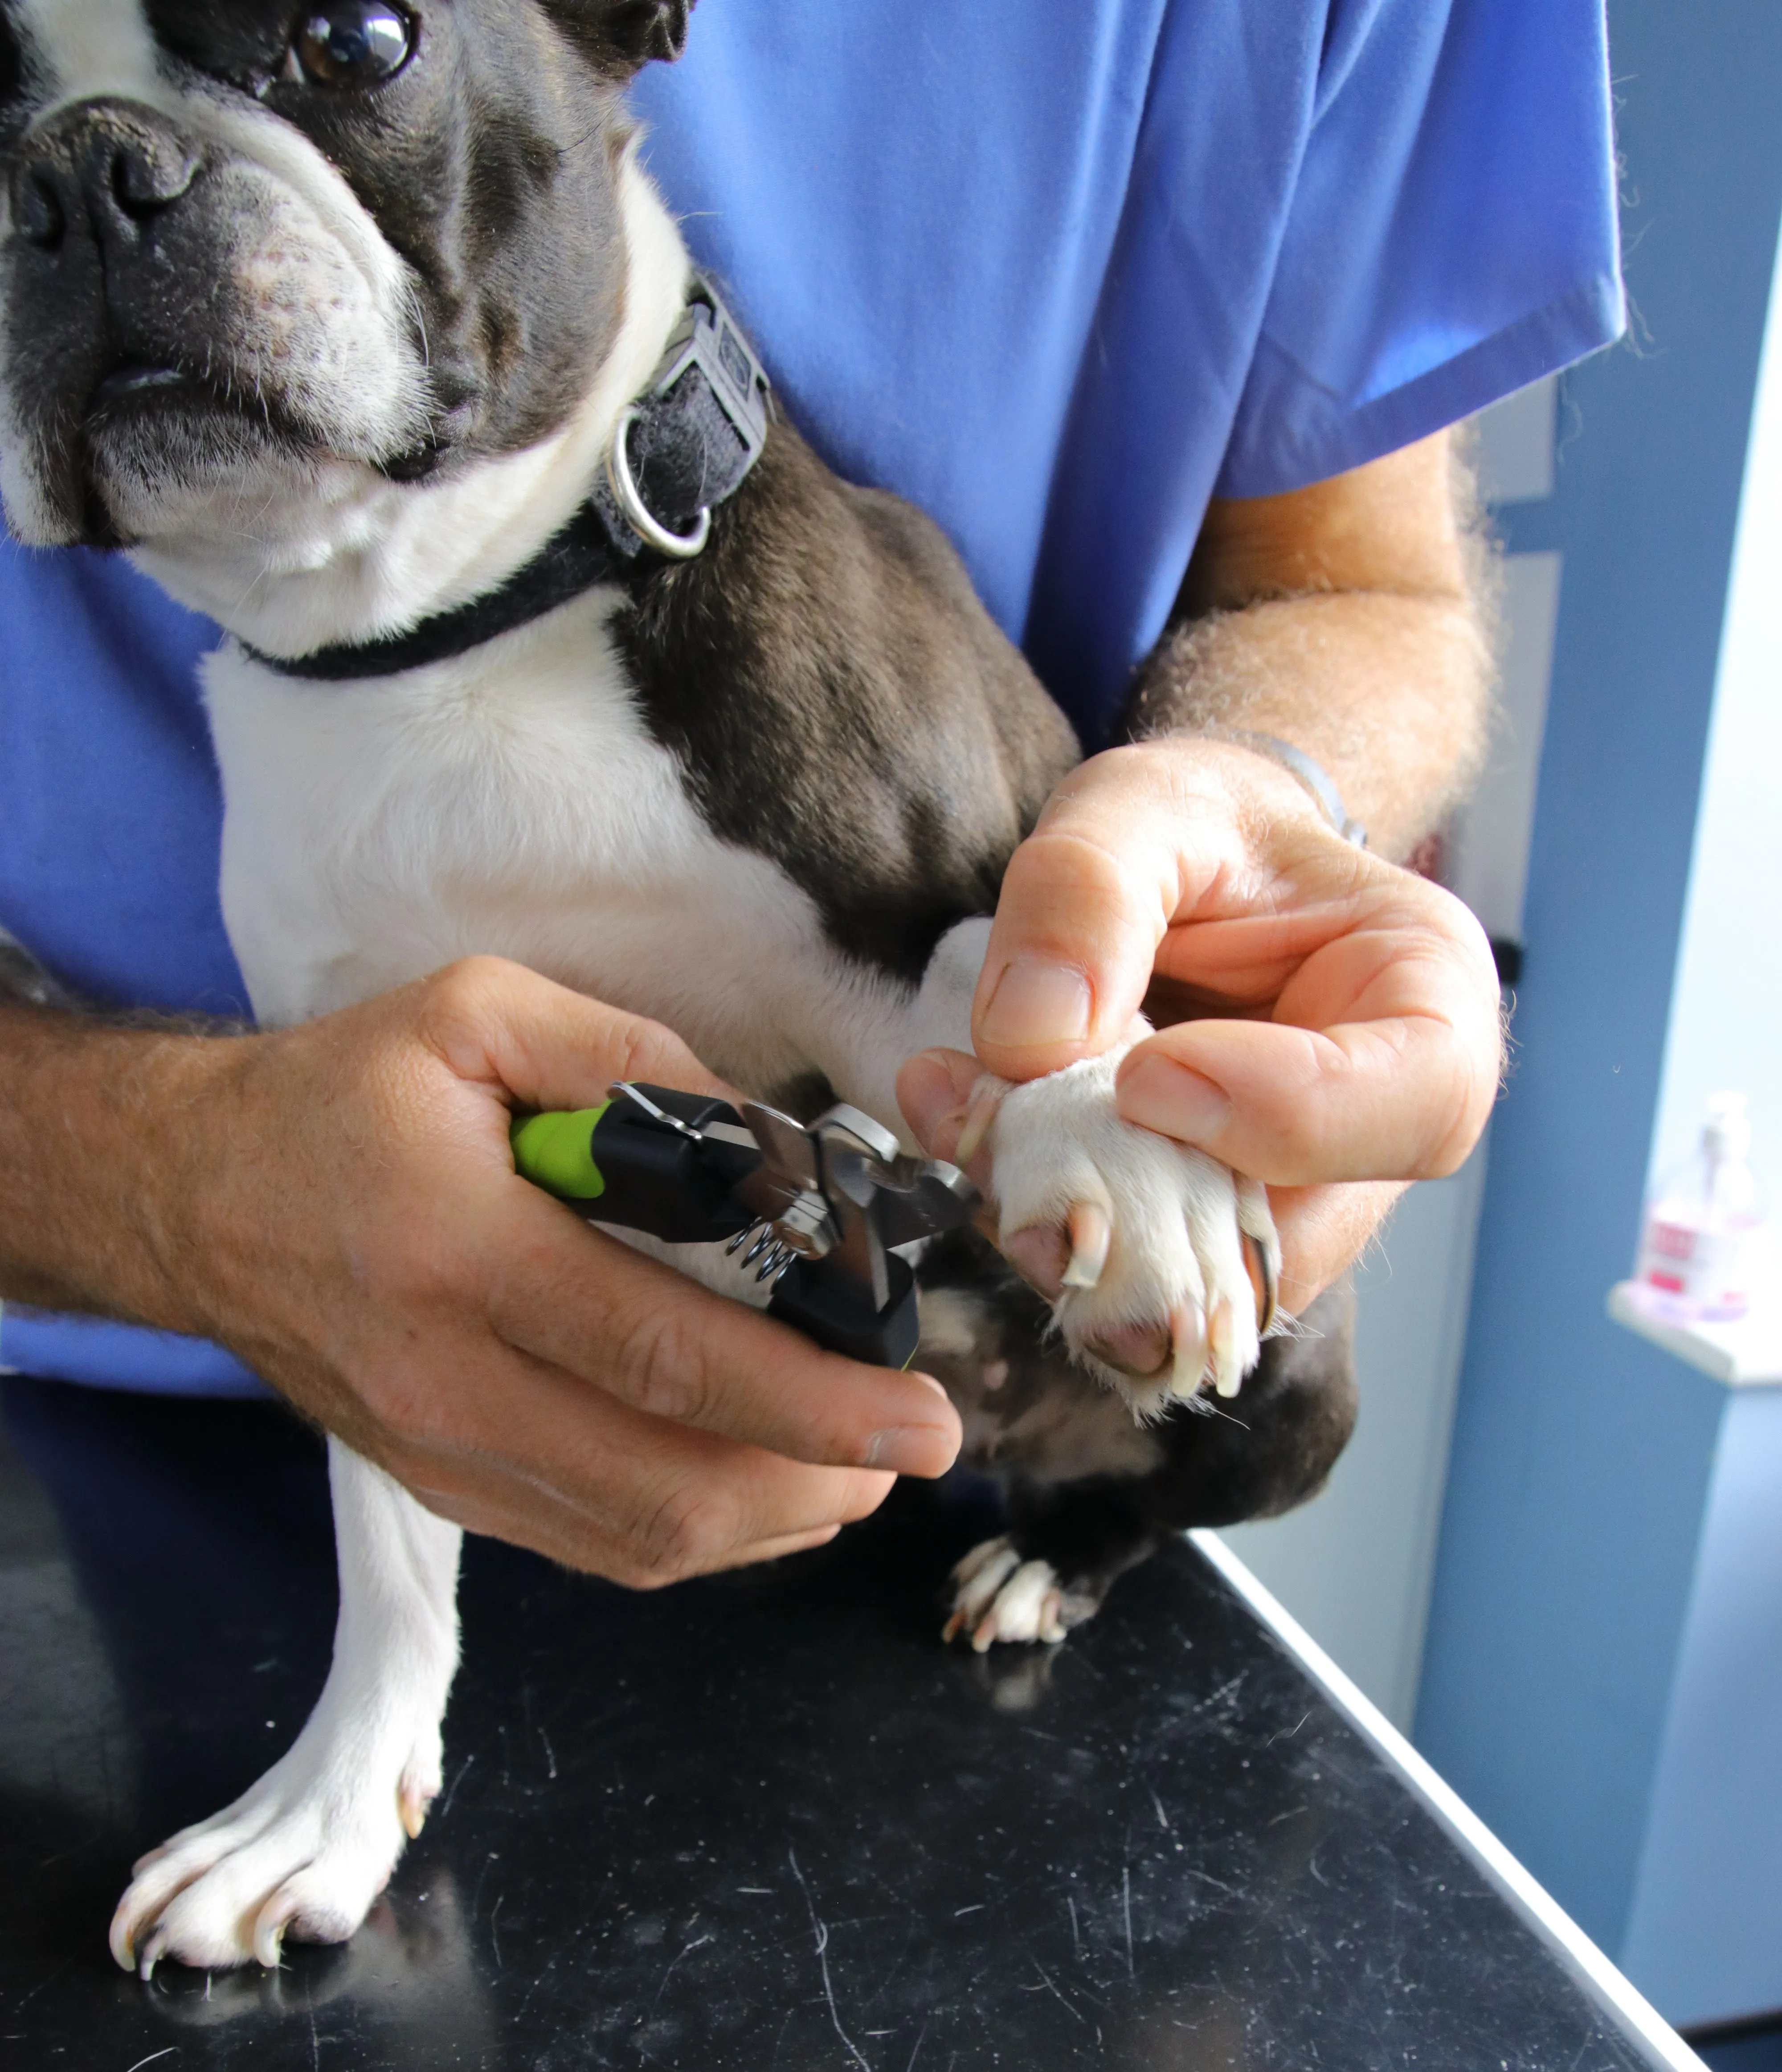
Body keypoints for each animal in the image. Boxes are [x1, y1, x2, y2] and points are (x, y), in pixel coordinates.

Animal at [0, 0, 1351, 1972]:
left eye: (357, 42)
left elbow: (1025, 953)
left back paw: (1051, 1552)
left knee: (1154, 1501)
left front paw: (1115, 1145)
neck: (443, 639)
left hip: (1296, 1397)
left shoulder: (956, 854)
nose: (79, 174)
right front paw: (330, 1796)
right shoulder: (355, 1163)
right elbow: (384, 1530)